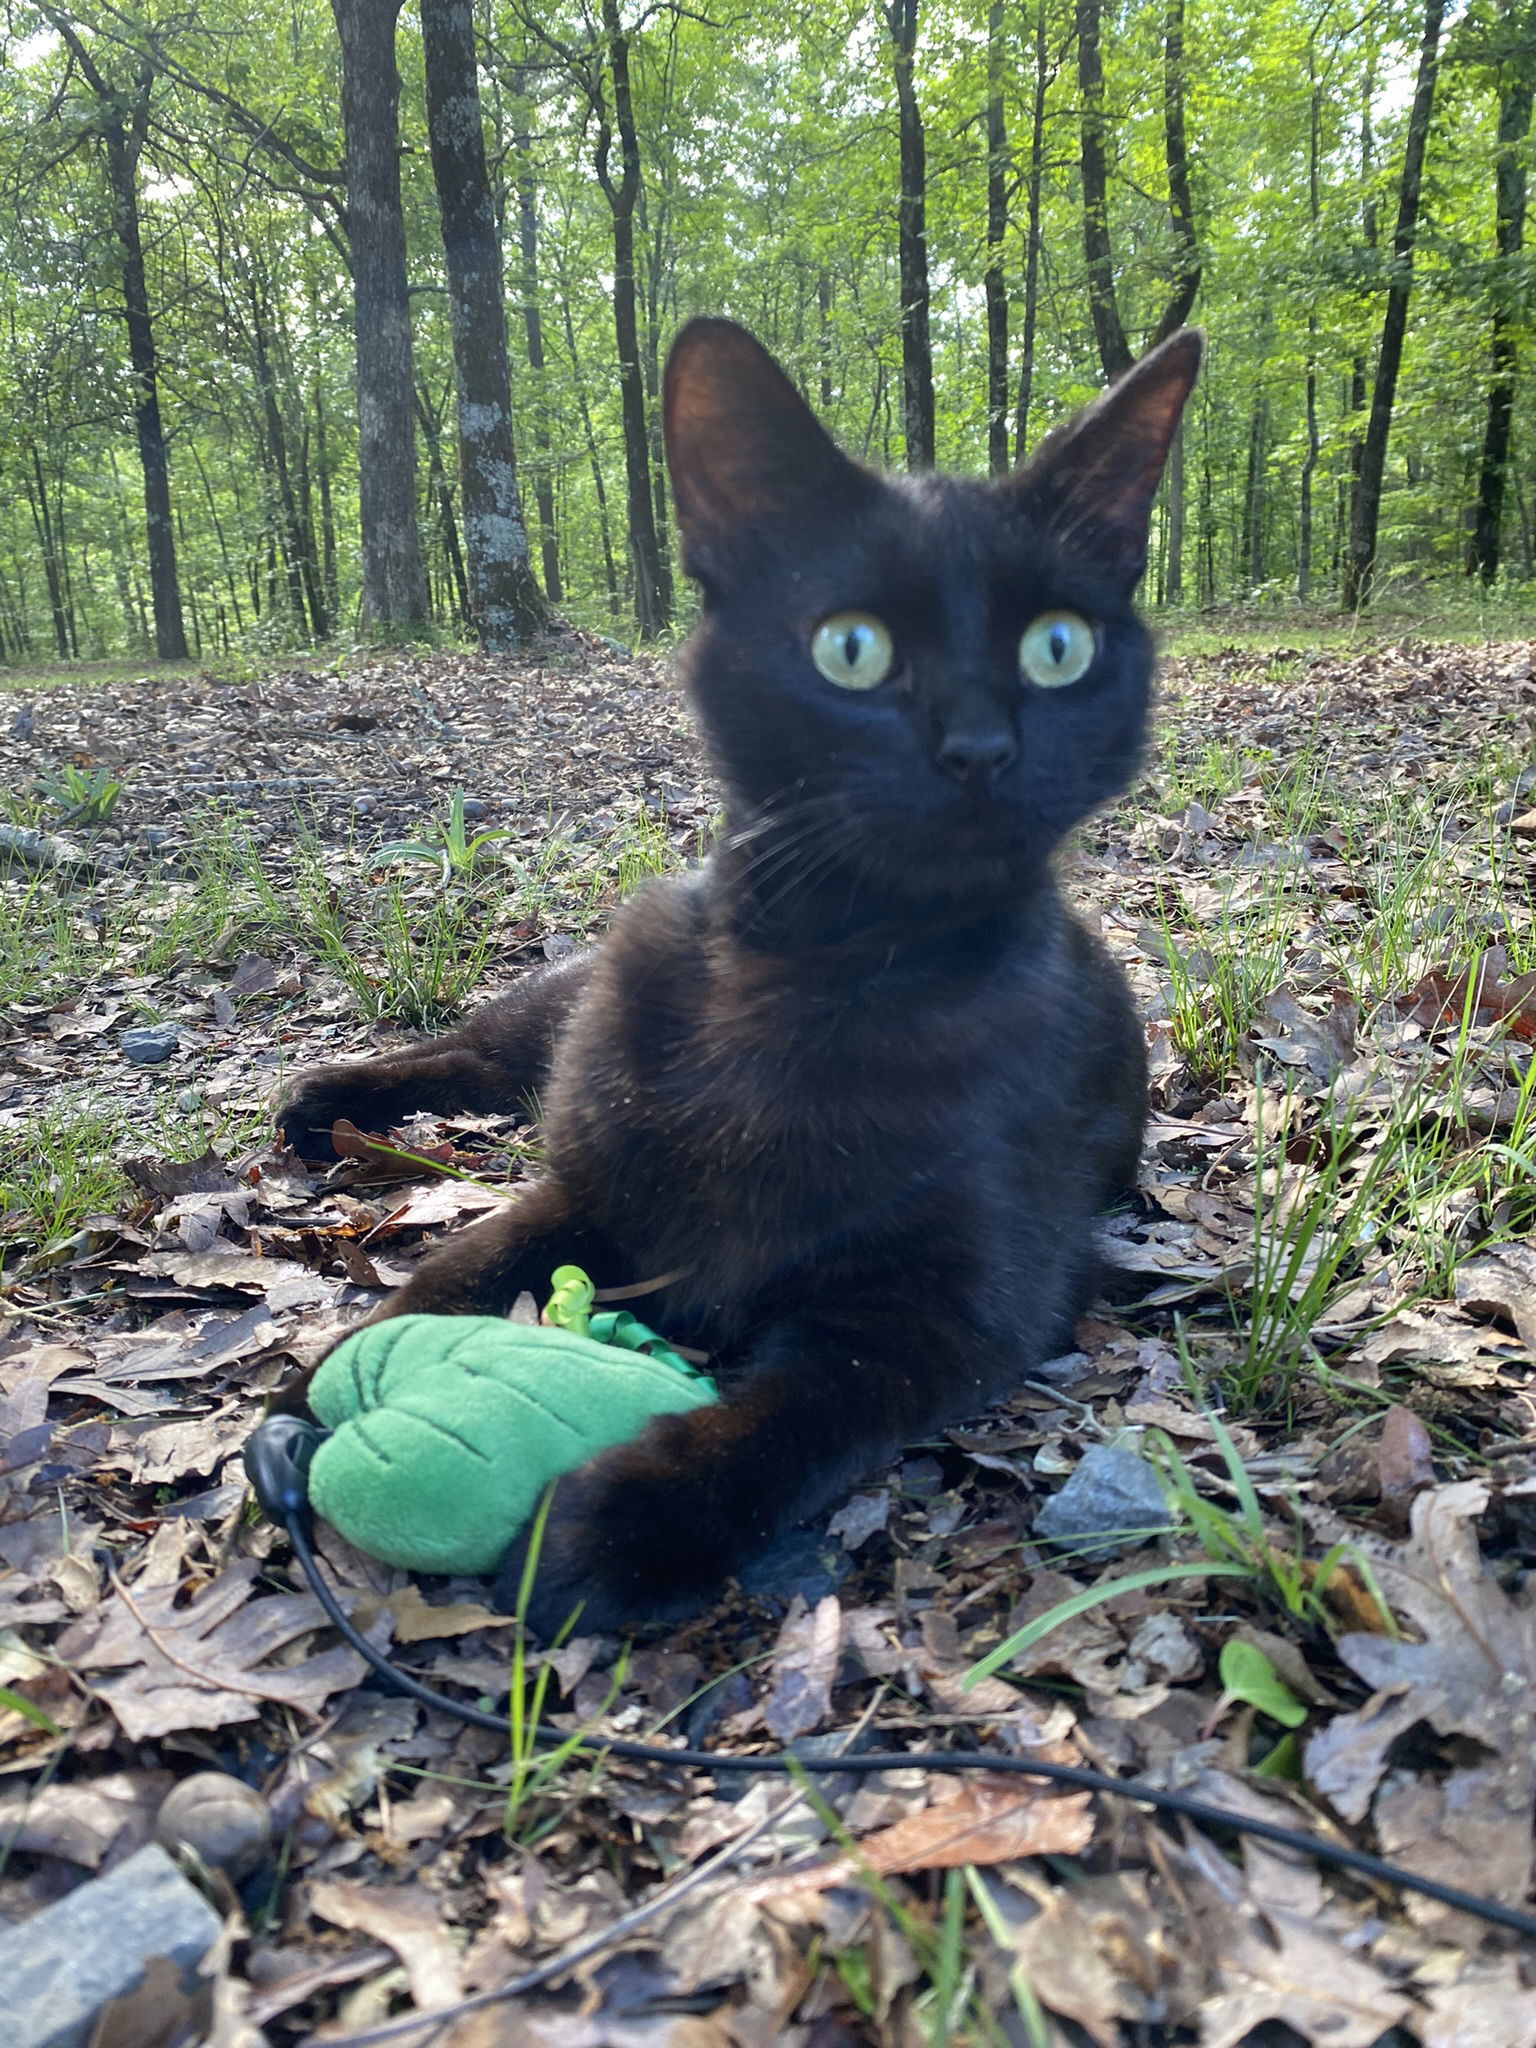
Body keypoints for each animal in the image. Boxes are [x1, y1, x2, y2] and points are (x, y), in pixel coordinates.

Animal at [282, 315, 1212, 1630]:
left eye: (1059, 646)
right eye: (852, 647)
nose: (980, 747)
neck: (824, 976)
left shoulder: (951, 1309)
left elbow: (792, 1417)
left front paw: (622, 1517)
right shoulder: (596, 1190)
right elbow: (464, 1259)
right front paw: (310, 1389)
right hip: (583, 995)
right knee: (478, 1050)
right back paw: (325, 1099)